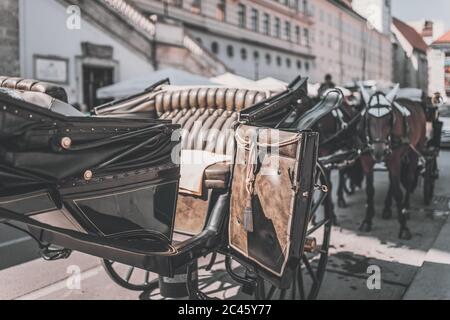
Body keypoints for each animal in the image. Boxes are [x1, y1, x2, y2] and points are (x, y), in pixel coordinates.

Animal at [358, 86, 426, 239]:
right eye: (368, 118)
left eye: (389, 119)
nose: (379, 151)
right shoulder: (366, 161)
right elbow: (370, 190)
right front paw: (367, 220)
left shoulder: (394, 160)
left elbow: (398, 192)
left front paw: (404, 227)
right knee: (392, 180)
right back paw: (388, 208)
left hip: (415, 150)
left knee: (408, 179)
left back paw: (406, 208)